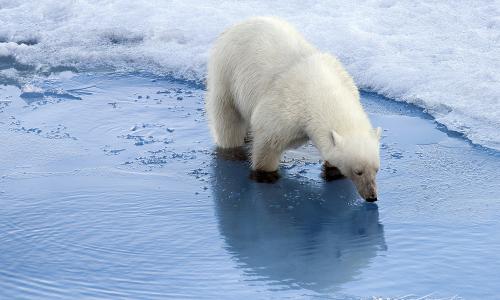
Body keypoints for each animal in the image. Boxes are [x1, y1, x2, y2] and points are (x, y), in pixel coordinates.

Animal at [205, 17, 380, 203]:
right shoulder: (285, 106)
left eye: (376, 169)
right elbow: (268, 142)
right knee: (228, 121)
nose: (372, 196)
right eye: (358, 171)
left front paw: (333, 170)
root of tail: (237, 25)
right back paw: (233, 151)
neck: (321, 89)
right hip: (227, 75)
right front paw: (266, 175)